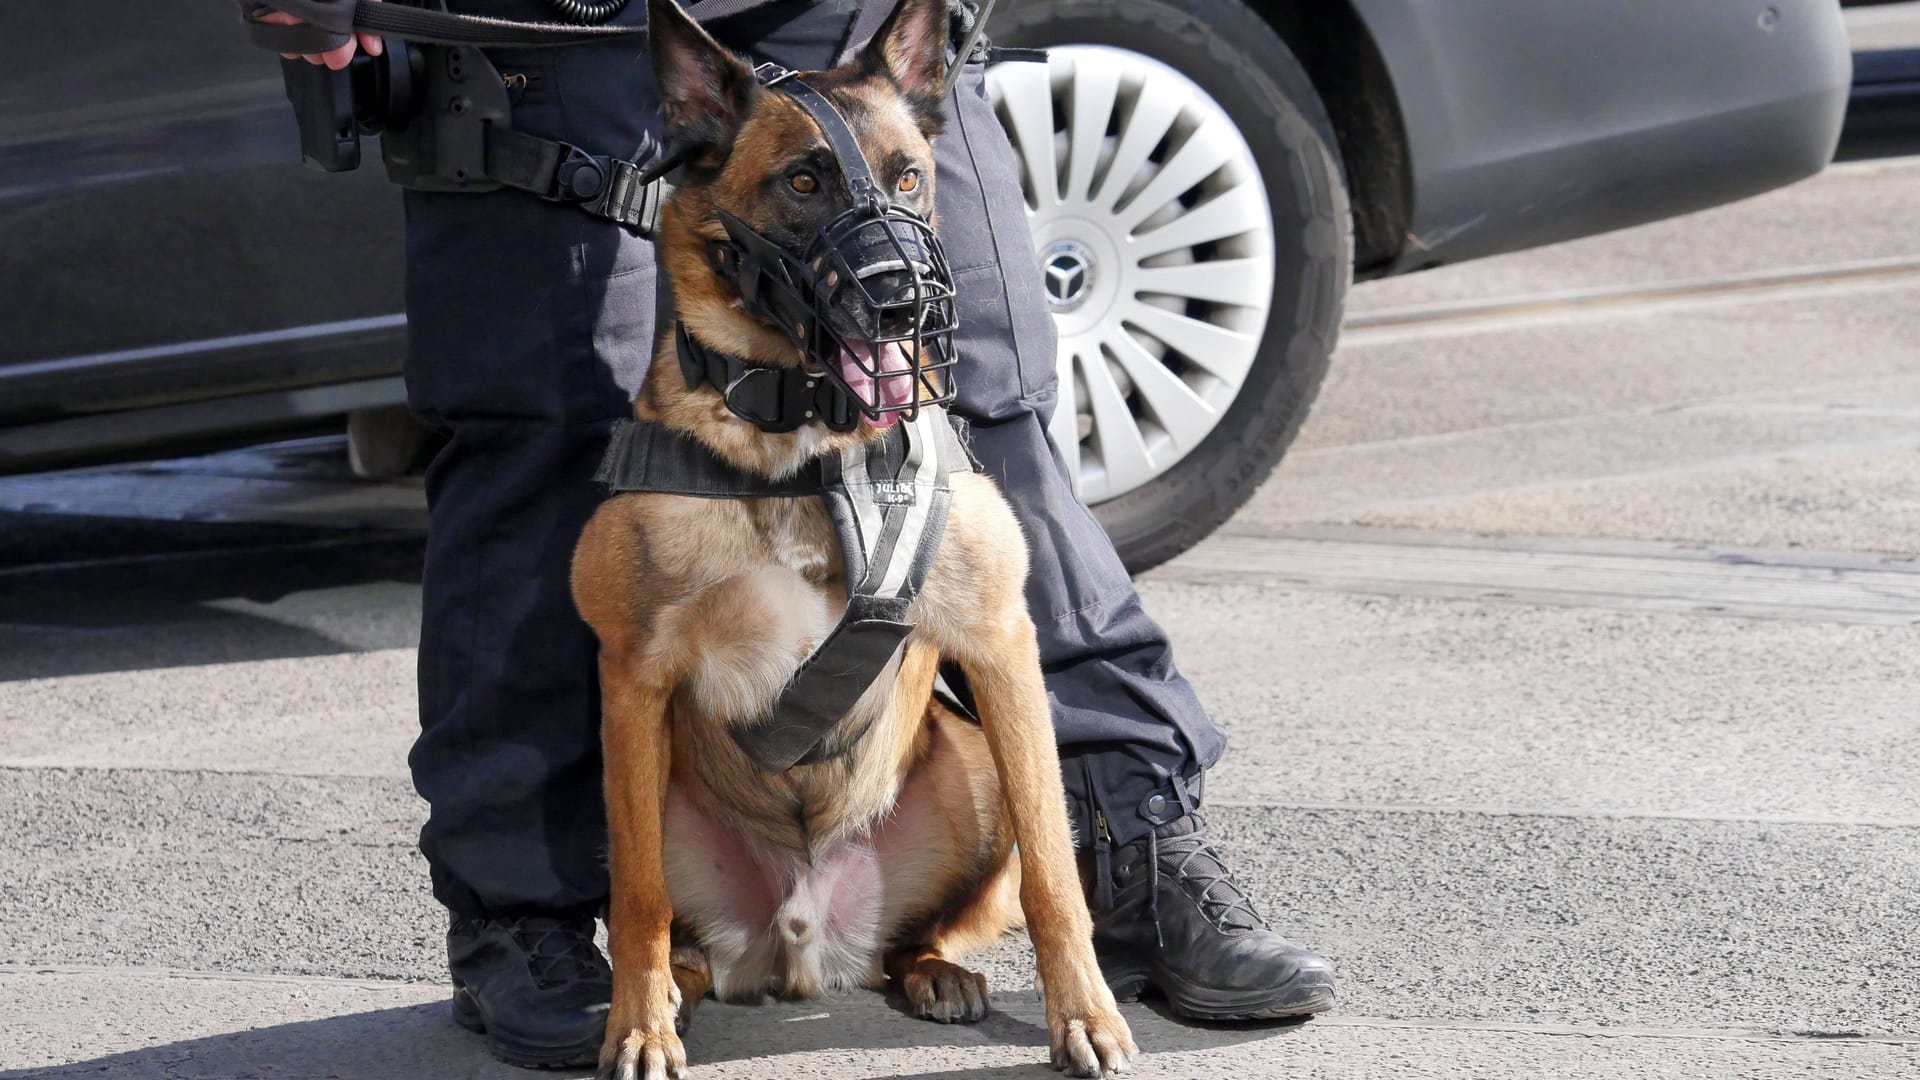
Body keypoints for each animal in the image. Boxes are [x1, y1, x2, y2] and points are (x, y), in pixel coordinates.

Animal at [568, 0, 1136, 1068]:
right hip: (637, 784)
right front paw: (639, 1025)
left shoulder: (1000, 649)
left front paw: (1086, 1016)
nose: (907, 300)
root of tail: (802, 945)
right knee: (670, 924)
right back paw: (677, 994)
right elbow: (638, 901)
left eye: (909, 176)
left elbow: (1054, 876)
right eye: (803, 180)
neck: (808, 439)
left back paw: (936, 972)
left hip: (970, 759)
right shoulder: (633, 677)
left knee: (934, 927)